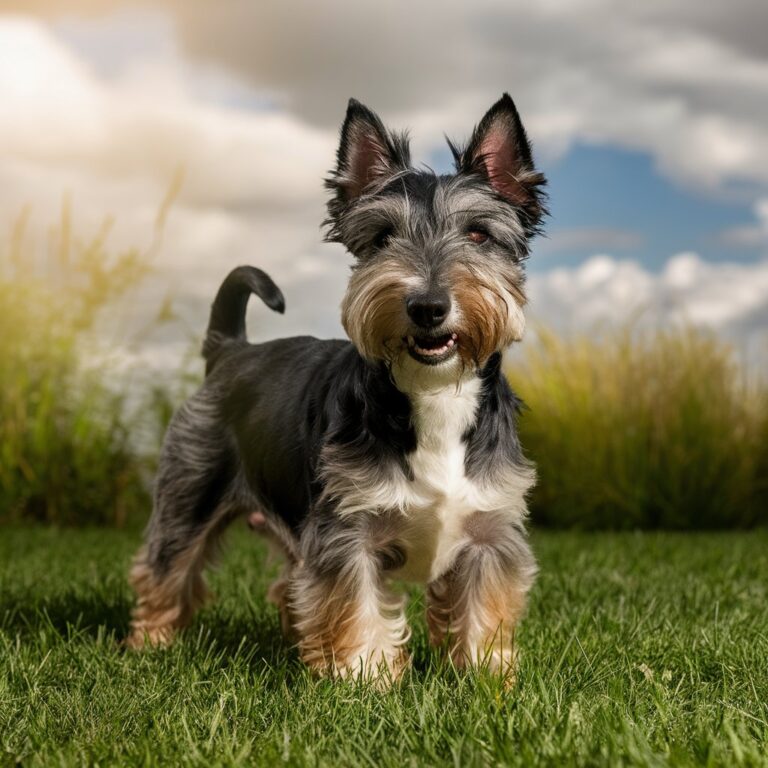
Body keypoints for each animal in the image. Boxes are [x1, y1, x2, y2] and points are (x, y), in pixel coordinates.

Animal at [127, 91, 544, 684]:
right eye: (383, 237)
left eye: (479, 234)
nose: (427, 306)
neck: (434, 395)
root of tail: (229, 350)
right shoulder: (349, 530)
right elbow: (354, 601)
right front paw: (364, 677)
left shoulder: (490, 531)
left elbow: (483, 605)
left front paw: (486, 677)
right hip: (189, 491)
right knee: (166, 566)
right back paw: (152, 644)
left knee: (287, 584)